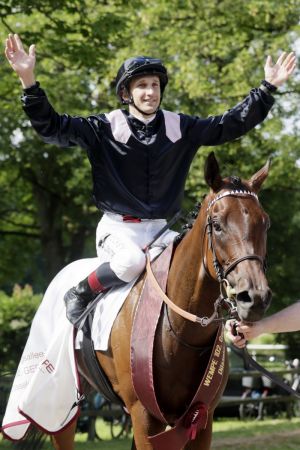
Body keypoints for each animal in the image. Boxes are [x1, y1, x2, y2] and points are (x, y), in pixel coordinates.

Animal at [51, 153, 272, 448]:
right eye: (216, 224)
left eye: (265, 223)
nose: (255, 297)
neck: (180, 330)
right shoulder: (144, 417)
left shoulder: (201, 417)